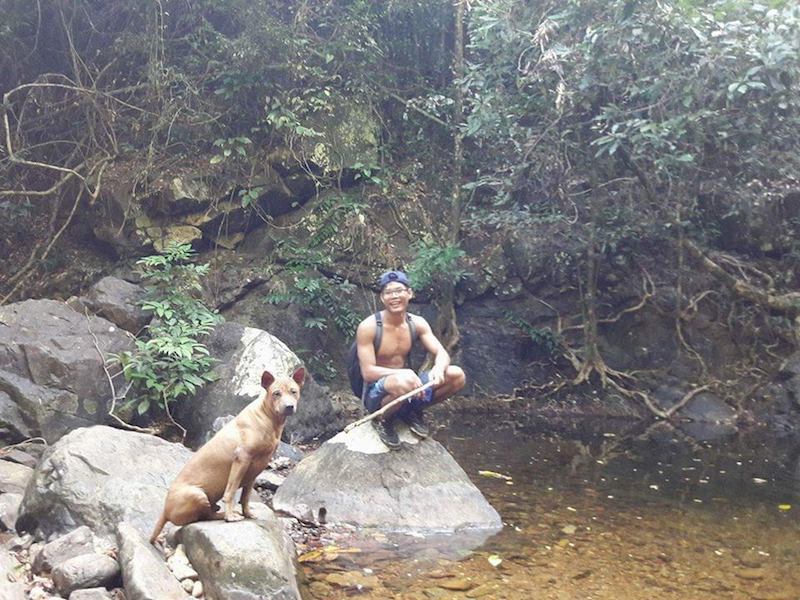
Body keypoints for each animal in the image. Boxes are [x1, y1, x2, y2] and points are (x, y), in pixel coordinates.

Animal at [150, 366, 306, 544]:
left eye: (294, 391)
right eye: (276, 393)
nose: (289, 406)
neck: (267, 418)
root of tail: (164, 511)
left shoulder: (256, 467)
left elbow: (245, 497)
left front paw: (247, 513)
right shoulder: (242, 459)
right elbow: (230, 493)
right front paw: (231, 517)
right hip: (197, 494)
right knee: (202, 516)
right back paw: (224, 514)